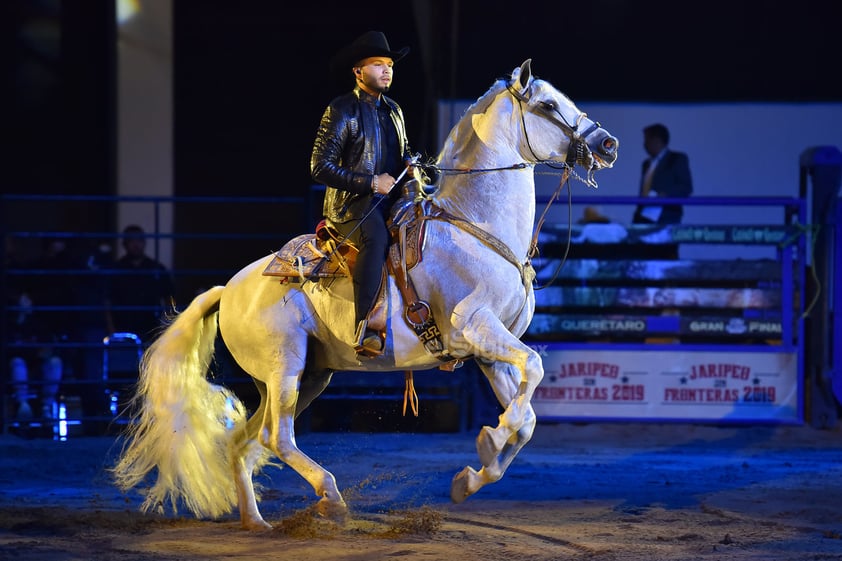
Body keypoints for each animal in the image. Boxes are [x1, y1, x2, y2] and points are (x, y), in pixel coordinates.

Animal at [111, 60, 616, 528]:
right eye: (547, 105)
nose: (607, 144)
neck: (475, 228)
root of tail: (230, 289)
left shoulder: (488, 351)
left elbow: (527, 418)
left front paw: (471, 476)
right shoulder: (476, 327)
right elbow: (533, 372)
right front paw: (491, 438)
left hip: (304, 377)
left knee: (246, 443)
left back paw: (256, 522)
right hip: (285, 368)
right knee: (277, 438)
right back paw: (330, 497)